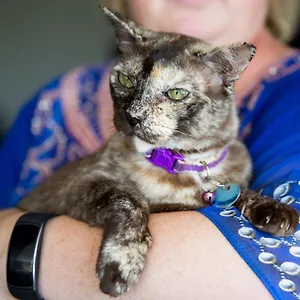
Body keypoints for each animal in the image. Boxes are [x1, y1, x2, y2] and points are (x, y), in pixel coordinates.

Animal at [19, 7, 298, 298]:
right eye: (125, 80)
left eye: (175, 93)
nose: (132, 116)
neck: (185, 165)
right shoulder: (82, 185)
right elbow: (130, 200)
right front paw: (119, 266)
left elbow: (239, 192)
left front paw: (275, 210)